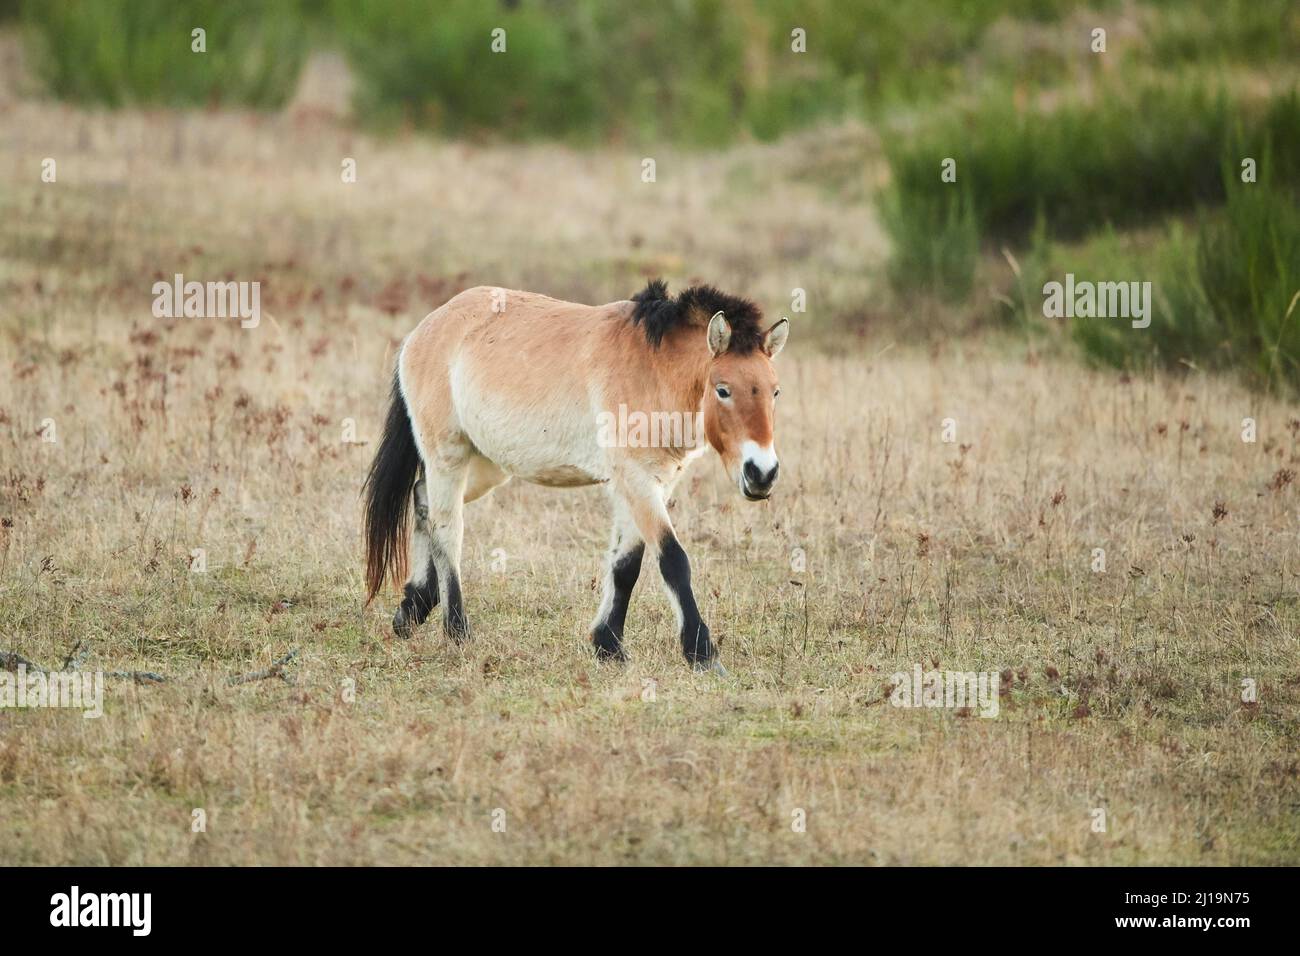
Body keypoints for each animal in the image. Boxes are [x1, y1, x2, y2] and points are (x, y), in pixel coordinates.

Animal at [362, 279, 788, 671]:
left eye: (775, 391)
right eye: (723, 390)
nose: (762, 474)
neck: (652, 368)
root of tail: (425, 329)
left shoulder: (648, 482)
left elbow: (626, 565)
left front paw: (609, 646)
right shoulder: (636, 480)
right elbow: (673, 560)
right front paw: (702, 654)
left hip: (486, 467)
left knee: (423, 501)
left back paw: (412, 609)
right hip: (447, 456)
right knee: (448, 529)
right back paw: (456, 630)